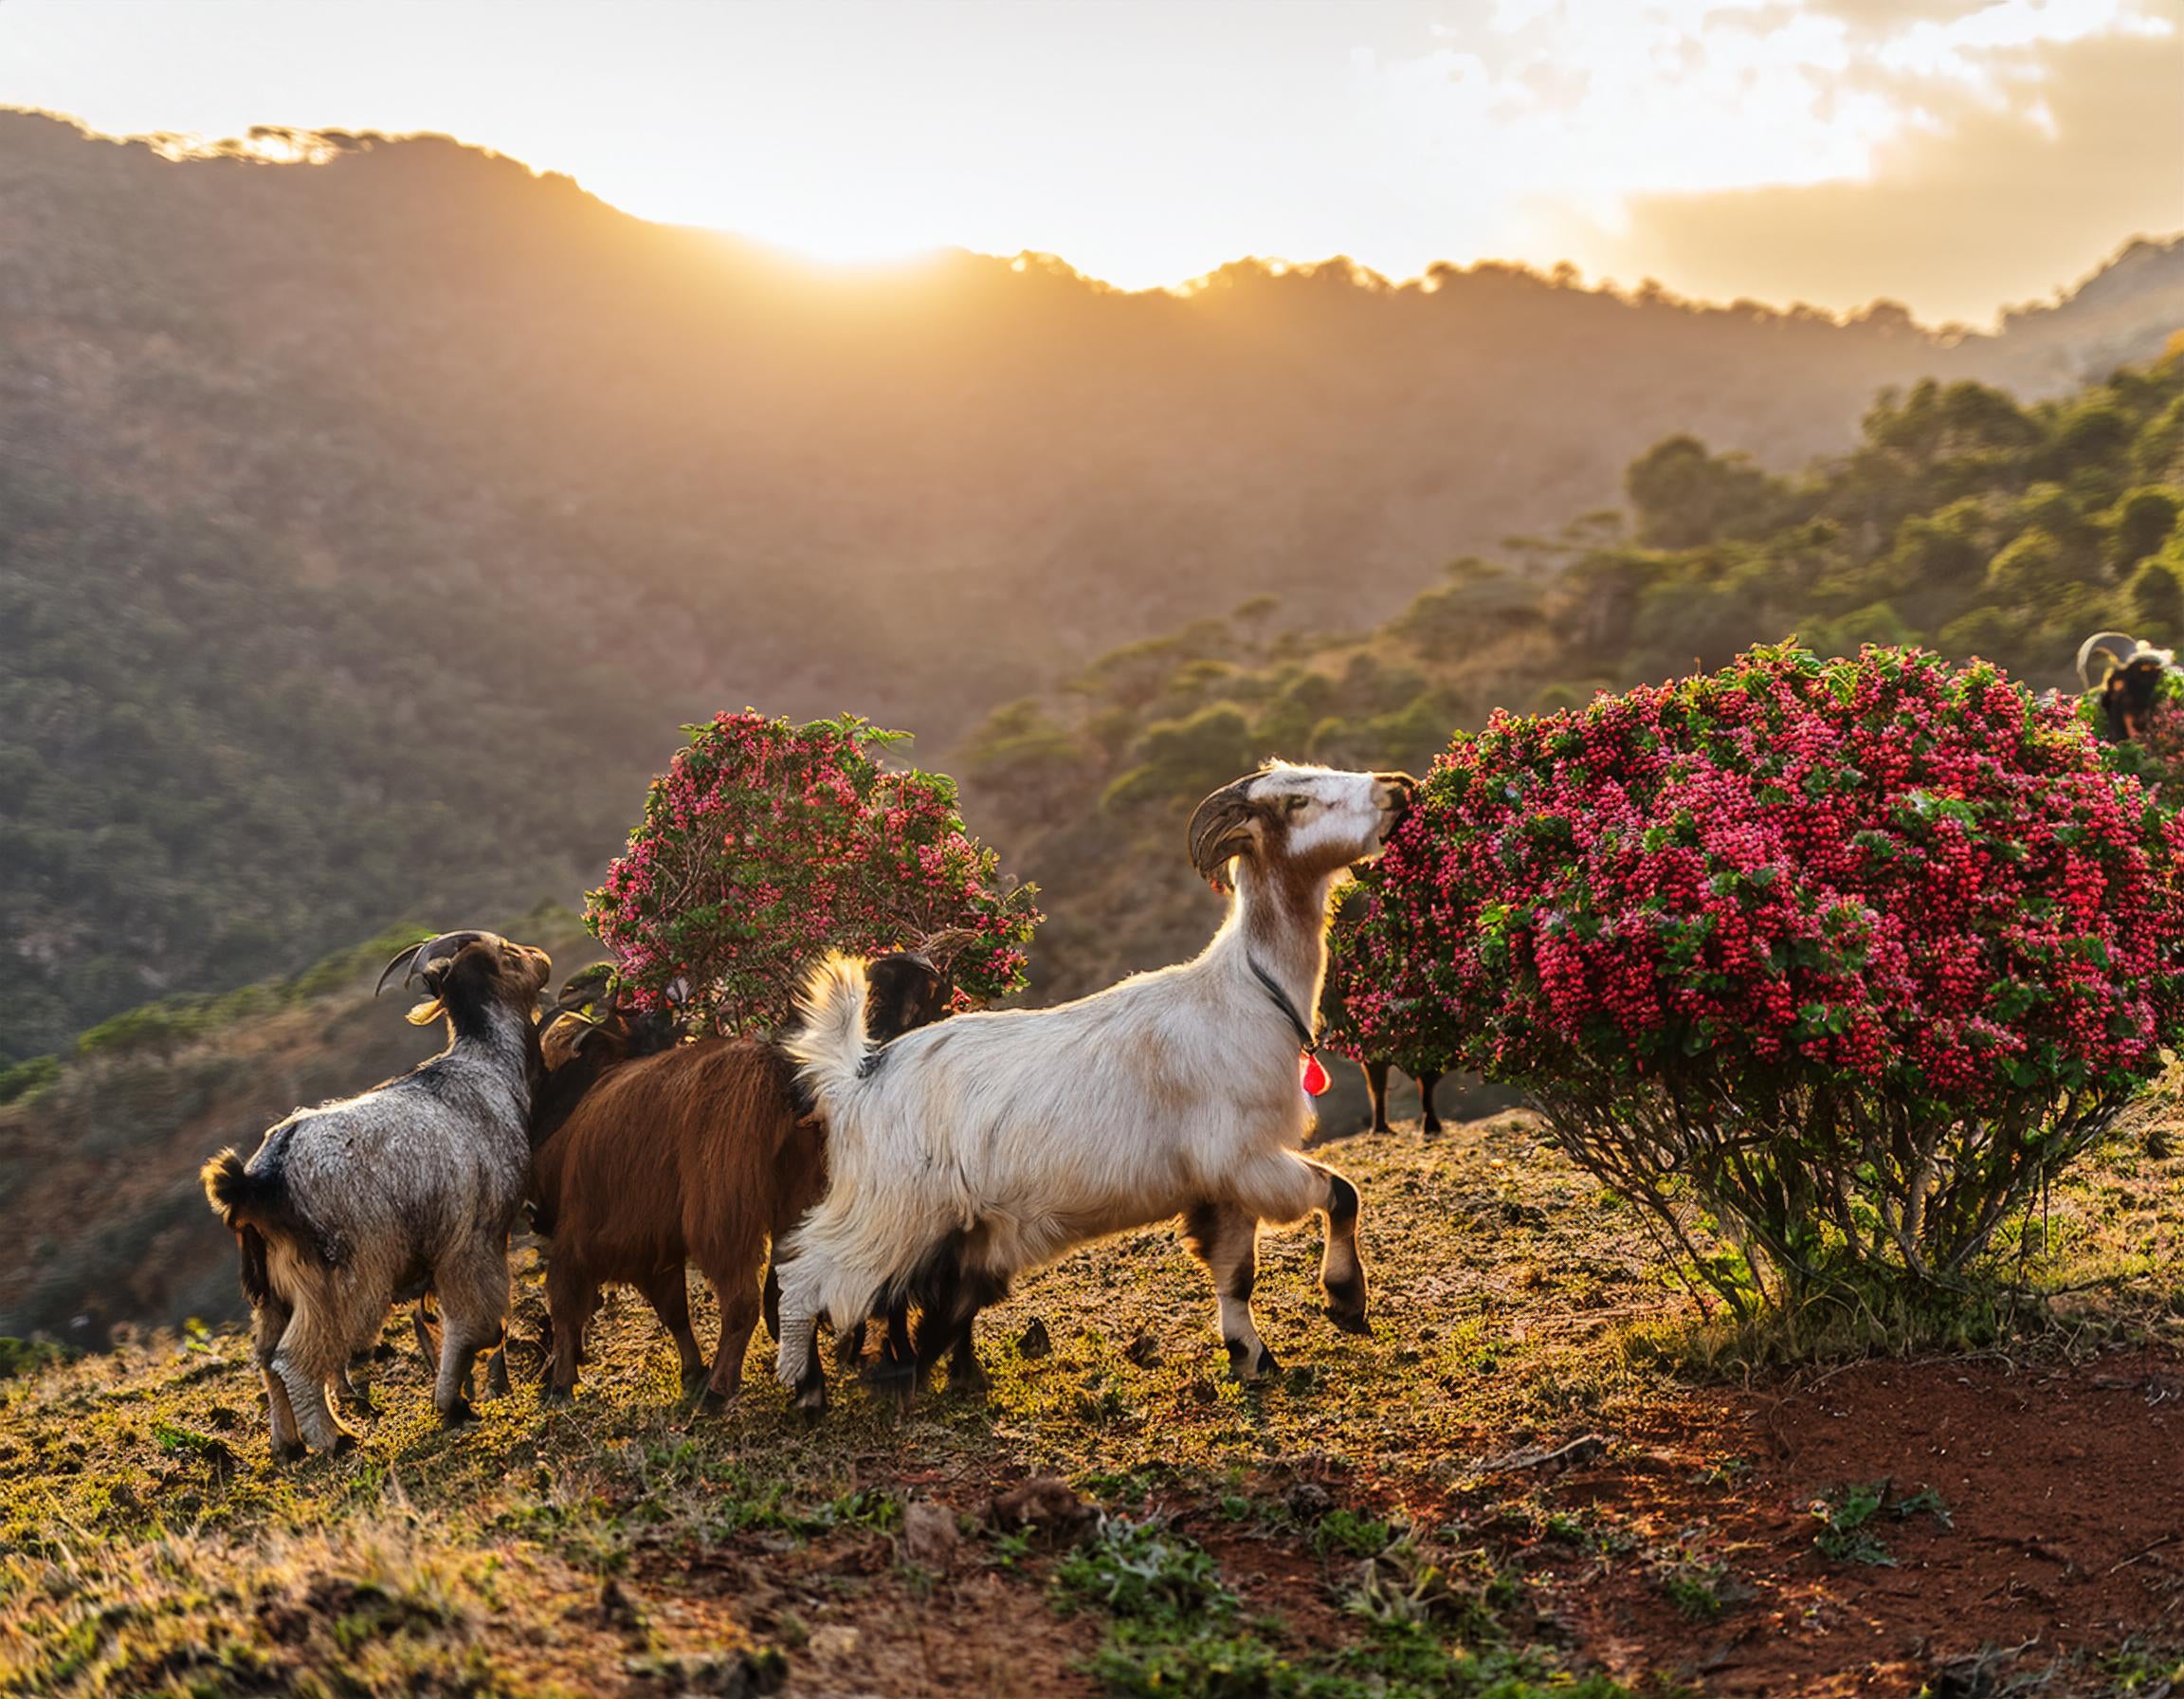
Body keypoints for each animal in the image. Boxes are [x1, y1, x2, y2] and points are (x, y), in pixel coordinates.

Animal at [204, 925, 550, 1458]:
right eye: (509, 952)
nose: (543, 959)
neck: (485, 1067)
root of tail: (260, 1180)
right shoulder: (475, 1239)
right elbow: (474, 1323)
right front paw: (451, 1402)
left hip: (274, 1292)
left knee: (264, 1357)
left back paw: (287, 1444)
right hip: (341, 1278)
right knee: (293, 1359)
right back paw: (334, 1438)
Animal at [530, 952, 947, 1406]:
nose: (534, 1213)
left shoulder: (593, 1233)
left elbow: (567, 1303)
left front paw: (561, 1382)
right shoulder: (655, 1241)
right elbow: (673, 1308)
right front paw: (691, 1370)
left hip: (721, 1218)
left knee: (742, 1302)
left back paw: (721, 1388)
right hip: (804, 1211)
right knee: (793, 1294)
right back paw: (816, 1382)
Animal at [769, 764, 1414, 1406]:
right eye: (1297, 801)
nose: (1397, 788)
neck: (1249, 993)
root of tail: (859, 1076)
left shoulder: (1224, 1182)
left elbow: (1236, 1274)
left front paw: (1251, 1354)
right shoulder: (1248, 1159)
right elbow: (1341, 1193)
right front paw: (1346, 1299)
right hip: (885, 1216)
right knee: (800, 1276)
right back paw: (805, 1390)